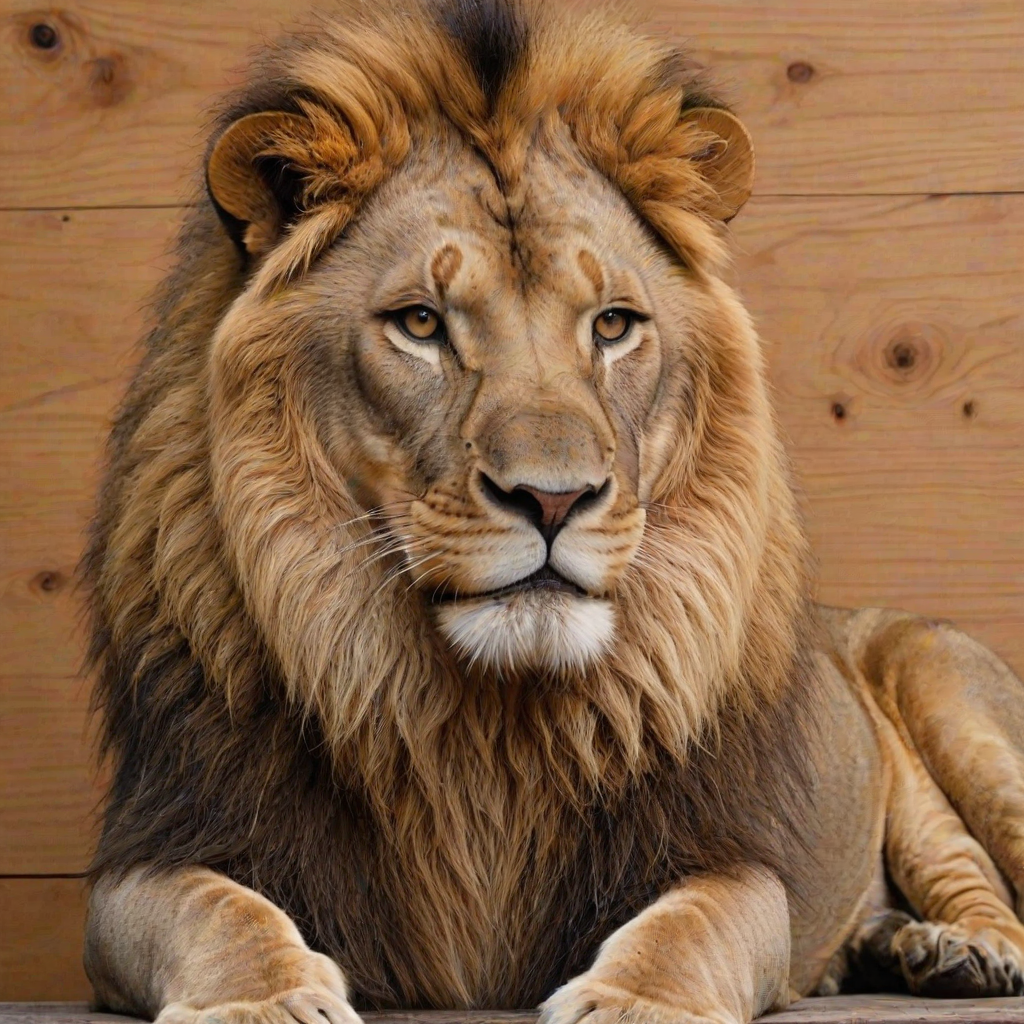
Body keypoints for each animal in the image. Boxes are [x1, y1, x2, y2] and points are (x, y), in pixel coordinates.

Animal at [81, 1, 1024, 1022]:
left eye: (612, 325)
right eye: (420, 323)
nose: (553, 497)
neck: (493, 728)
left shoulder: (724, 857)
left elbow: (690, 926)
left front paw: (636, 1004)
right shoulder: (155, 849)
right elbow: (222, 910)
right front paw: (263, 1000)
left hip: (941, 687)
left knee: (972, 867)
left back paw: (962, 948)